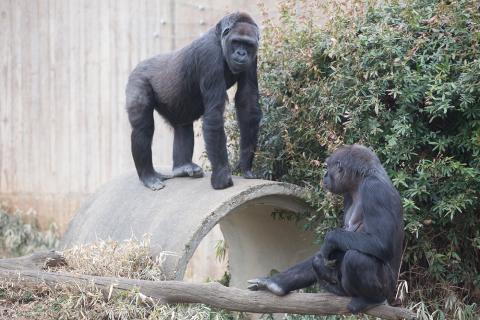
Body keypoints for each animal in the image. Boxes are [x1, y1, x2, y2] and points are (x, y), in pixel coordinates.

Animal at [125, 13, 260, 190]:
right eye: (236, 41)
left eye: (248, 45)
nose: (241, 53)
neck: (219, 38)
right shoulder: (209, 55)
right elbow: (214, 114)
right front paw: (222, 175)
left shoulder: (254, 57)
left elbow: (248, 104)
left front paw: (245, 165)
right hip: (138, 78)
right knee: (143, 128)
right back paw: (148, 176)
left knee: (183, 125)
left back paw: (182, 167)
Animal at [248, 145, 404, 312]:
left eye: (328, 167)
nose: (325, 175)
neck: (360, 182)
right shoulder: (348, 196)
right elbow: (332, 247)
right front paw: (277, 281)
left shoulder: (374, 190)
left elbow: (380, 242)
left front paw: (329, 239)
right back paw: (278, 284)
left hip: (387, 289)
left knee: (356, 258)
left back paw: (370, 299)